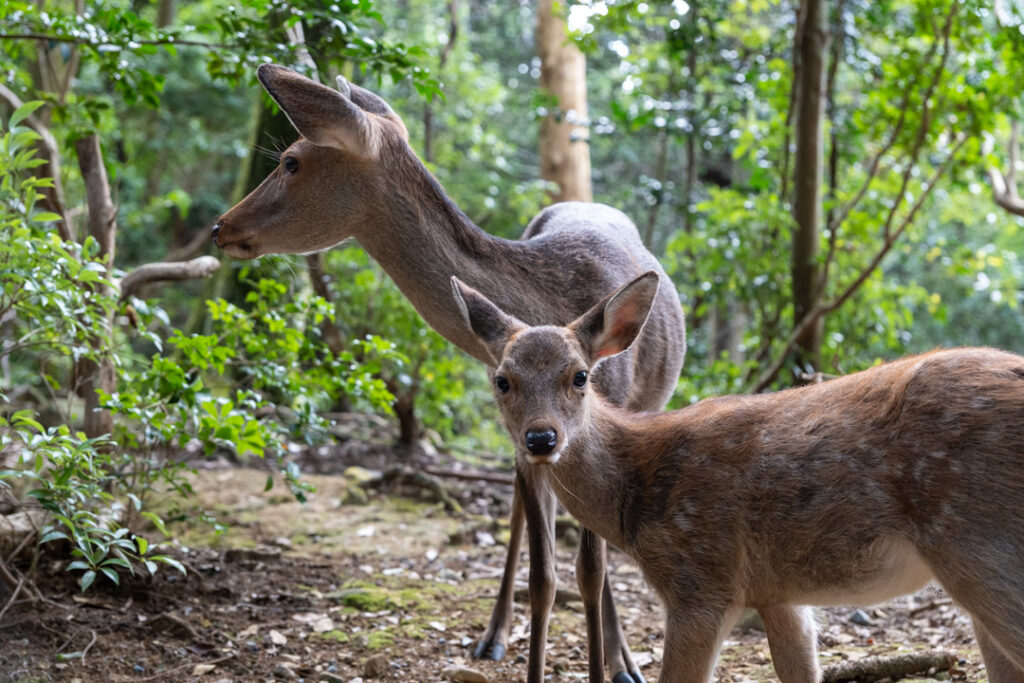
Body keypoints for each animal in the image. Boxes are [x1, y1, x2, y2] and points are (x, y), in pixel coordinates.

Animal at [210, 65, 684, 683]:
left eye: (290, 160)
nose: (220, 227)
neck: (550, 301)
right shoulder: (524, 427)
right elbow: (546, 575)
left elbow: (592, 567)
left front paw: (614, 663)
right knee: (520, 514)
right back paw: (494, 636)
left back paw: (624, 659)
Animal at [452, 270, 1024, 683]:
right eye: (502, 380)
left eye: (580, 376)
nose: (540, 439)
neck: (635, 491)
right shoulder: (777, 594)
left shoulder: (703, 578)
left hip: (979, 543)